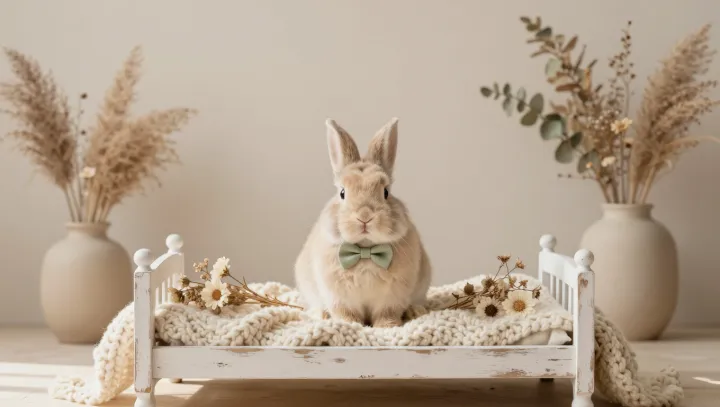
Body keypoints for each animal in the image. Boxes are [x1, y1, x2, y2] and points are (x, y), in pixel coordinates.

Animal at [294, 117, 432, 328]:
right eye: (342, 192)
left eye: (386, 192)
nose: (365, 216)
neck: (365, 251)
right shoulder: (340, 298)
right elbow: (346, 313)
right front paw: (350, 325)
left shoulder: (391, 299)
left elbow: (387, 313)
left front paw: (387, 326)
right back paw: (321, 314)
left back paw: (415, 311)